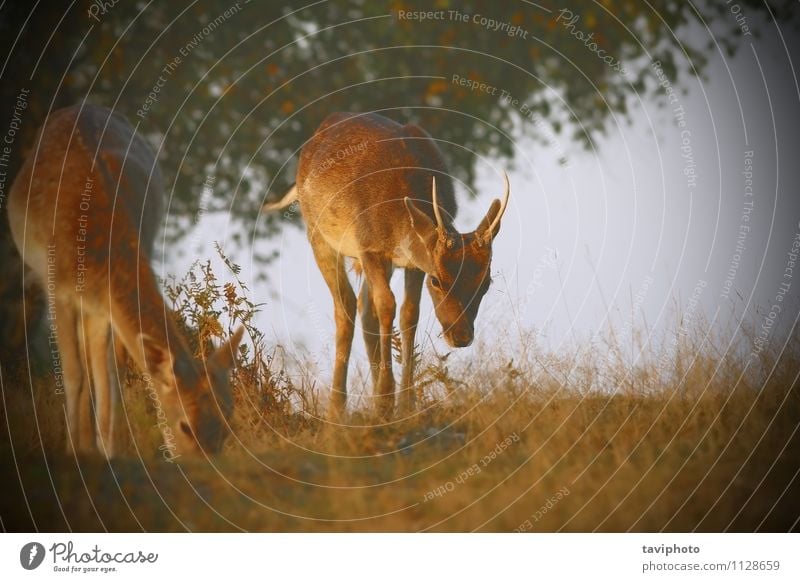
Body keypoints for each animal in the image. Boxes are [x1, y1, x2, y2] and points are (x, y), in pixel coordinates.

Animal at [7, 106, 242, 460]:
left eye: (228, 422)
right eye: (185, 425)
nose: (205, 465)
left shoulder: (106, 303)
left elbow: (109, 374)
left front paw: (109, 449)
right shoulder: (57, 288)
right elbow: (74, 374)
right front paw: (76, 451)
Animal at [266, 110, 510, 420]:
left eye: (485, 283)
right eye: (437, 280)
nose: (461, 336)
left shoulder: (412, 264)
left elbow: (408, 314)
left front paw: (405, 403)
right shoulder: (369, 247)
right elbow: (387, 306)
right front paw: (385, 399)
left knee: (364, 308)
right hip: (318, 234)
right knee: (345, 306)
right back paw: (337, 409)